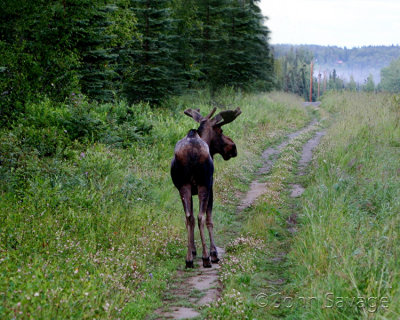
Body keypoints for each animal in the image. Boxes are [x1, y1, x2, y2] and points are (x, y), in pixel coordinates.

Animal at [171, 107, 241, 268]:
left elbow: (190, 218)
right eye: (220, 130)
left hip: (184, 186)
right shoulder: (211, 187)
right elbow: (210, 220)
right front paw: (213, 253)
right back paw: (206, 258)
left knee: (189, 217)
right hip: (203, 185)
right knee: (201, 217)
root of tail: (192, 152)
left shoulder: (189, 190)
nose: (233, 147)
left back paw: (189, 259)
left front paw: (193, 250)